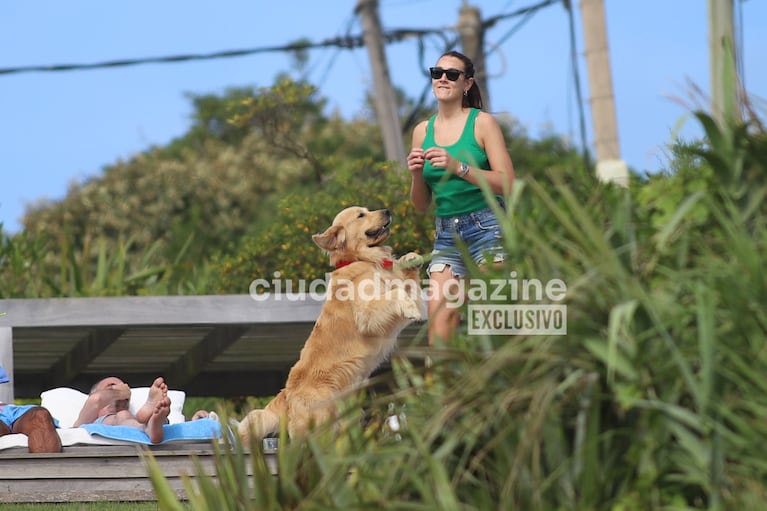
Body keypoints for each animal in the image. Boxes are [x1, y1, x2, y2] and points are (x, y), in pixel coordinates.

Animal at [237, 207, 424, 444]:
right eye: (361, 215)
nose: (387, 210)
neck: (362, 259)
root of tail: (287, 394)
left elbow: (407, 286)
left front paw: (412, 258)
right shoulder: (367, 315)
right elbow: (396, 293)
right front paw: (410, 308)